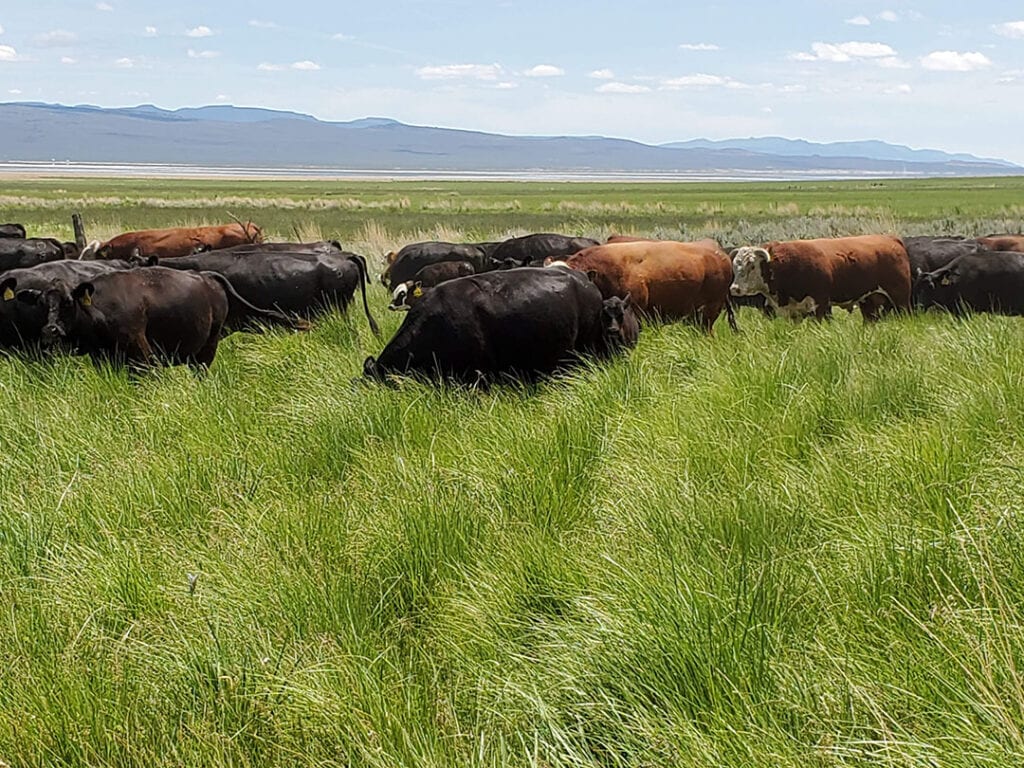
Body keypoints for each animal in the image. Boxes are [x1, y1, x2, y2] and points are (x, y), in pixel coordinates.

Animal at [729, 235, 911, 321]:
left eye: (751, 265)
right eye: (735, 265)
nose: (734, 289)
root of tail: (892, 239)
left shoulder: (820, 304)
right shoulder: (793, 311)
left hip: (900, 298)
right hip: (868, 300)